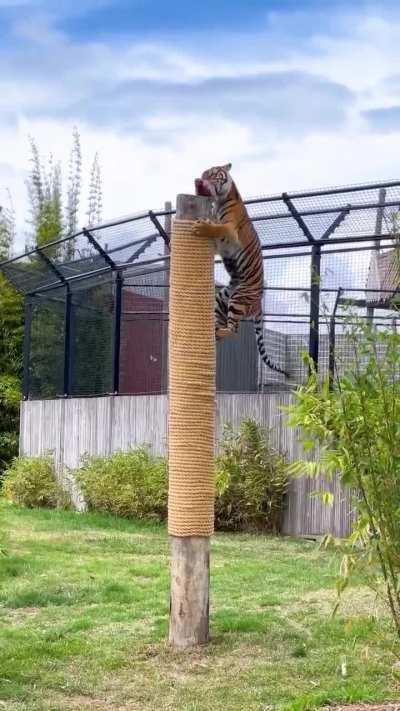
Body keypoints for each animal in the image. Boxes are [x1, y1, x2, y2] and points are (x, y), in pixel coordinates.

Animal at [193, 163, 286, 376]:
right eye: (203, 174)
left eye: (213, 174)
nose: (199, 180)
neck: (219, 201)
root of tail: (259, 303)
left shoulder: (229, 229)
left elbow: (217, 227)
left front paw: (202, 227)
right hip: (223, 297)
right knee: (223, 325)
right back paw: (212, 331)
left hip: (239, 297)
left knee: (233, 330)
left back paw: (219, 331)